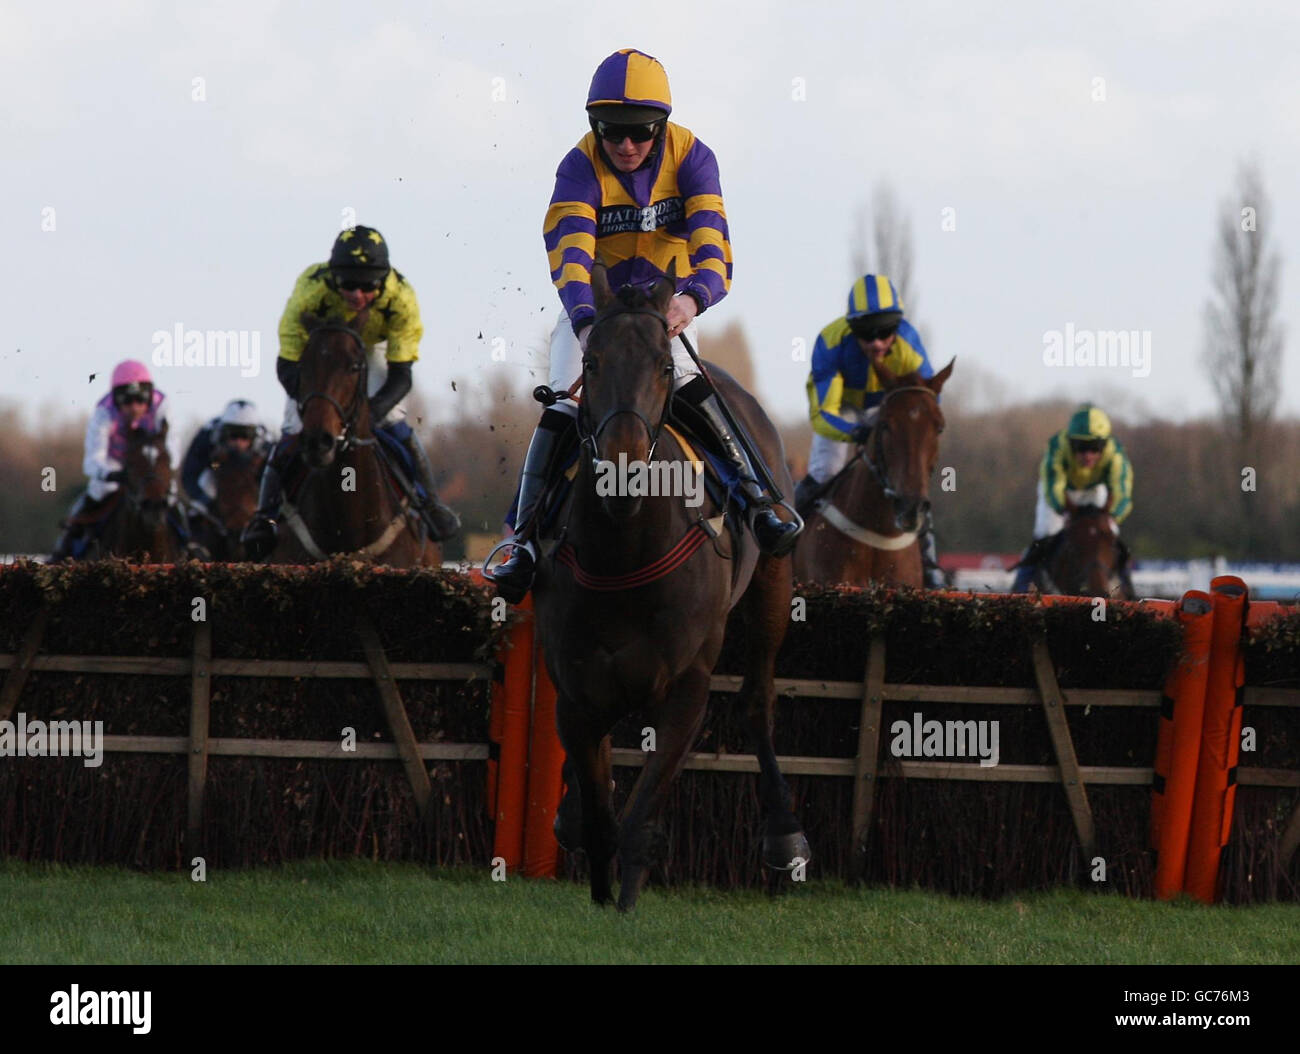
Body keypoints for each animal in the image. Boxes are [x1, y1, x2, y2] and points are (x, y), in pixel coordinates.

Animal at [533, 267, 806, 909]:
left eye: (662, 366)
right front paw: (595, 880)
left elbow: (637, 822)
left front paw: (626, 905)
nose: (623, 468)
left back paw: (784, 834)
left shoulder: (686, 691)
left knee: (757, 702)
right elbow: (600, 817)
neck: (623, 552)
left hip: (773, 583)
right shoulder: (577, 695)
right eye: (593, 362)